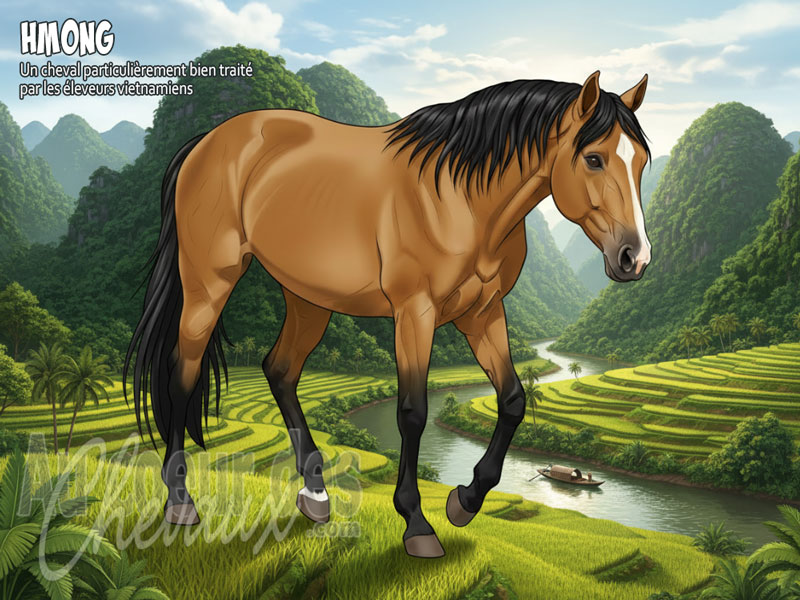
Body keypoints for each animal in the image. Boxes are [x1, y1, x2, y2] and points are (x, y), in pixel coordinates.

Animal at [124, 70, 652, 558]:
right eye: (593, 158)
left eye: (642, 161)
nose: (635, 257)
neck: (461, 198)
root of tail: (206, 143)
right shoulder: (414, 312)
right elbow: (413, 413)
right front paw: (416, 523)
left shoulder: (483, 313)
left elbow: (513, 400)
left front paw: (466, 500)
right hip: (209, 282)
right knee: (183, 373)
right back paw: (180, 501)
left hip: (306, 297)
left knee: (279, 369)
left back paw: (315, 492)